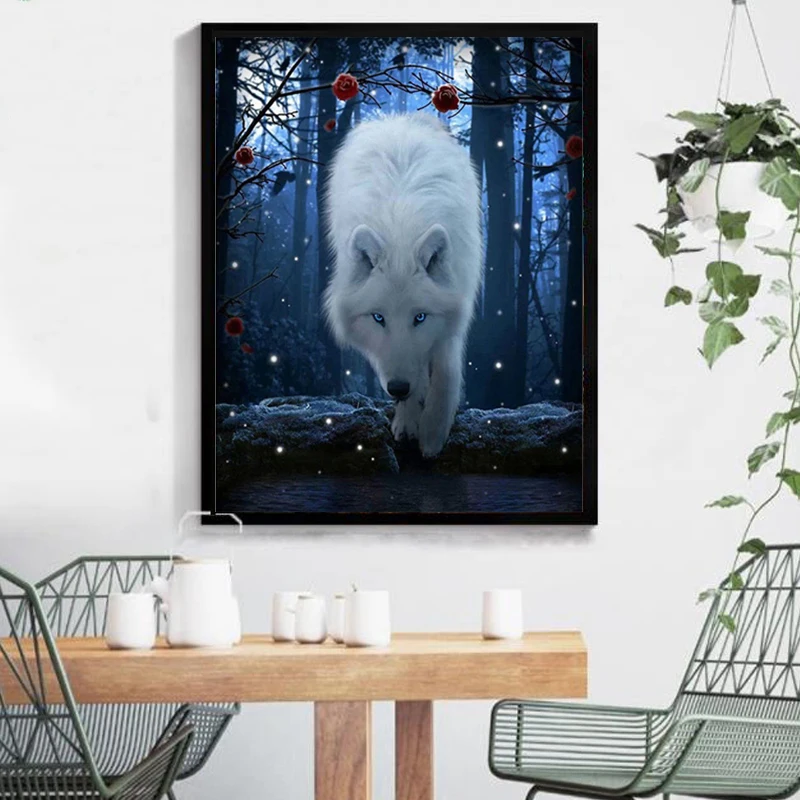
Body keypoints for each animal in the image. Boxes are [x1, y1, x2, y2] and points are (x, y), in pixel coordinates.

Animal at [324, 114, 482, 457]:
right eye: (378, 318)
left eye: (419, 317)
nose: (397, 388)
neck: (400, 231)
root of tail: (398, 118)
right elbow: (409, 367)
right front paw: (409, 420)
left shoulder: (455, 305)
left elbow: (445, 369)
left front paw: (433, 430)